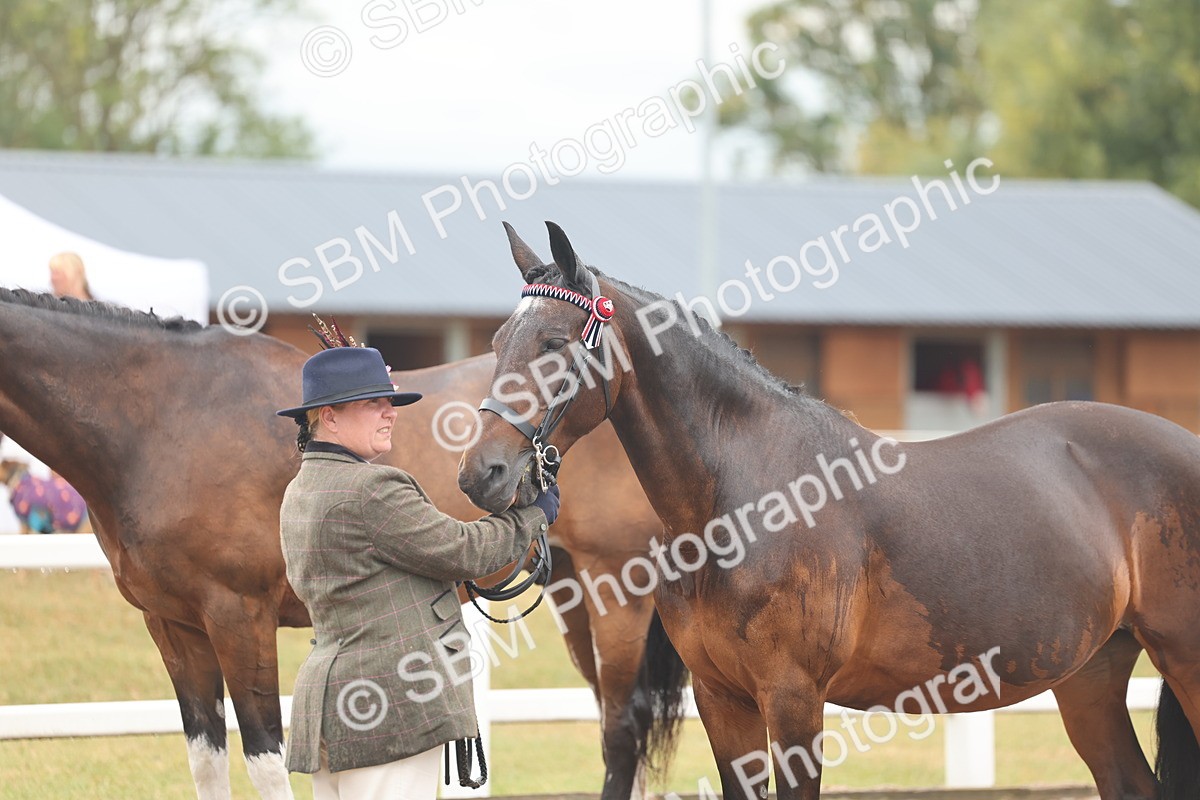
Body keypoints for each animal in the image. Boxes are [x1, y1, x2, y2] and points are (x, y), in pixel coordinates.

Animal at [0, 288, 688, 800]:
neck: (162, 421)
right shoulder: (173, 626)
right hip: (574, 592)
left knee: (623, 728)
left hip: (618, 591)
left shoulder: (237, 616)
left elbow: (266, 759)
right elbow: (206, 760)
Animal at [458, 221, 1200, 800]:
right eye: (496, 345)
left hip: (1183, 658)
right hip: (1092, 672)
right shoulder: (722, 700)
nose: (480, 474)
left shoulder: (794, 700)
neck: (743, 501)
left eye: (555, 344)